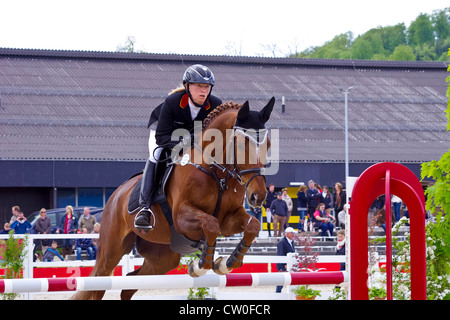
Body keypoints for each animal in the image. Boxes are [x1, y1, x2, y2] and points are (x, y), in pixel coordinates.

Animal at [72, 97, 274, 300]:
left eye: (269, 145)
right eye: (240, 145)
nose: (258, 196)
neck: (217, 173)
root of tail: (115, 195)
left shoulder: (229, 219)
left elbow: (253, 225)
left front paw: (227, 263)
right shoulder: (182, 218)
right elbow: (211, 224)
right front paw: (200, 266)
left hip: (162, 257)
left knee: (129, 283)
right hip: (112, 249)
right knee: (99, 281)